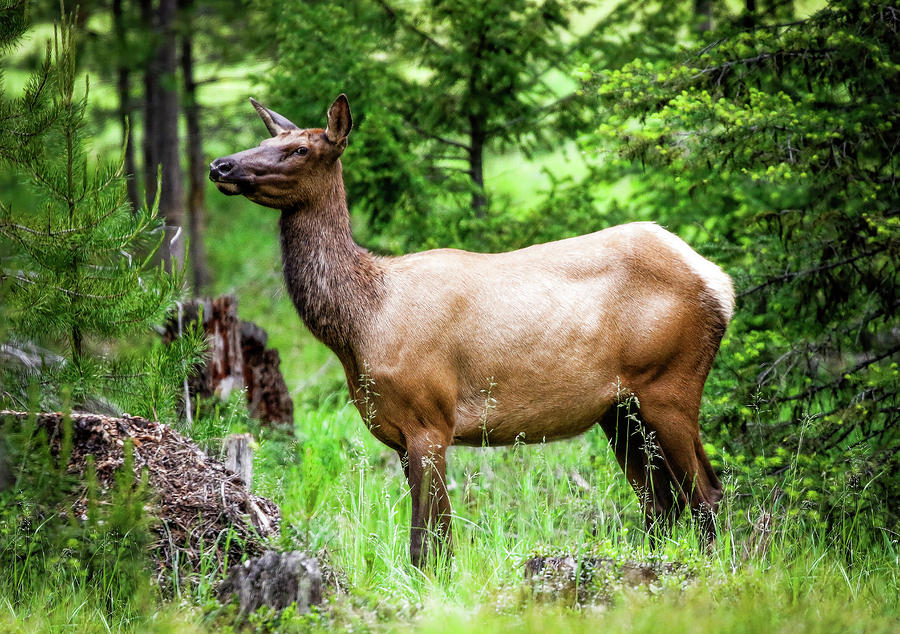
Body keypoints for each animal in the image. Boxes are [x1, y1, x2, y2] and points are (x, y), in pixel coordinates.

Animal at [213, 94, 740, 564]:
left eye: (301, 149)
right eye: (267, 138)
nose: (221, 165)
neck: (362, 323)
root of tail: (721, 284)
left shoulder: (430, 418)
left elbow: (431, 541)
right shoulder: (401, 432)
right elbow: (435, 537)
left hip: (670, 383)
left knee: (705, 493)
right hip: (619, 408)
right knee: (660, 501)